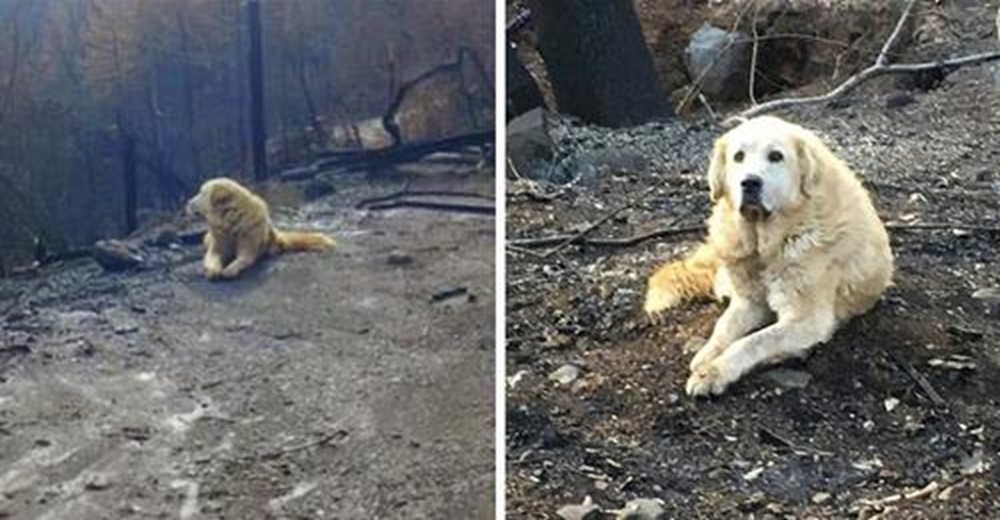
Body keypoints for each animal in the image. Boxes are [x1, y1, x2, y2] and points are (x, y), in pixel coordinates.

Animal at [182, 177, 334, 278]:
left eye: (201, 193)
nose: (188, 202)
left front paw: (230, 269)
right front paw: (213, 270)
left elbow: (243, 258)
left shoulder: (249, 243)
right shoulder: (218, 244)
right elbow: (212, 257)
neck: (230, 220)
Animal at [644, 116, 896, 396]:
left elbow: (752, 341)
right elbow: (724, 328)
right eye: (738, 156)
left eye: (776, 156)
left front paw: (714, 372)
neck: (767, 242)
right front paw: (707, 355)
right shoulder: (748, 303)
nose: (750, 182)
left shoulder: (807, 319)